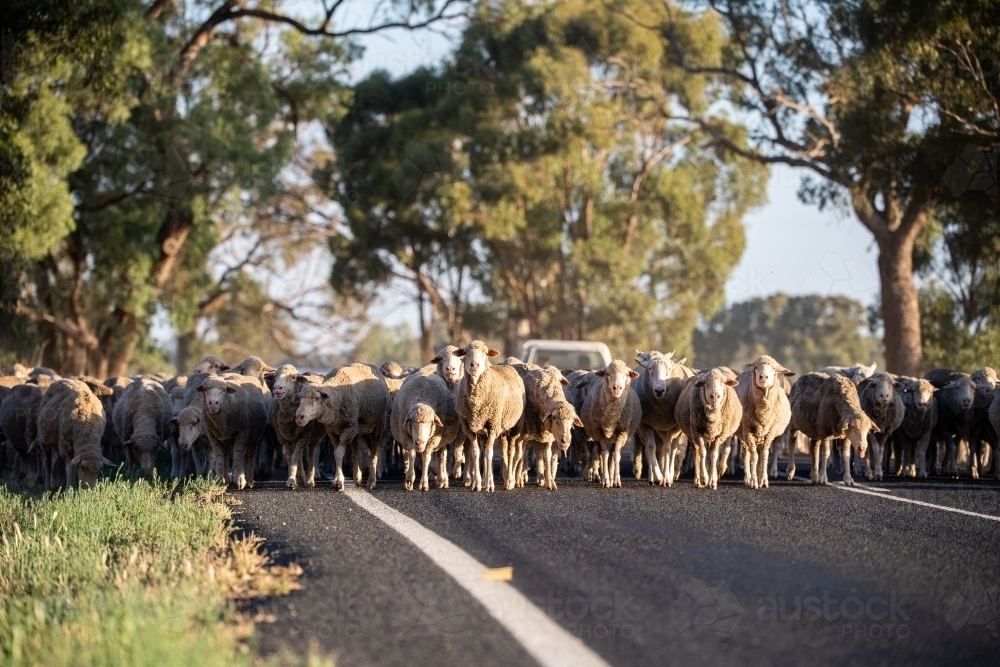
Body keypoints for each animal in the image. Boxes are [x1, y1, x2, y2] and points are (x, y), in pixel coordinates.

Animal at [292, 362, 386, 494]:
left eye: (316, 398)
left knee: (374, 450)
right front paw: (336, 480)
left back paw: (371, 481)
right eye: (300, 399)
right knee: (355, 449)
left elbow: (339, 453)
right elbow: (336, 453)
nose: (299, 417)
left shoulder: (348, 428)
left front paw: (339, 483)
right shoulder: (333, 431)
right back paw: (357, 477)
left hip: (378, 424)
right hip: (355, 428)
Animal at [456, 342, 528, 494]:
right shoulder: (469, 428)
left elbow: (489, 453)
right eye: (465, 352)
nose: (474, 365)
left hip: (514, 427)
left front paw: (490, 484)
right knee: (500, 452)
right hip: (493, 430)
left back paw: (510, 481)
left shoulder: (493, 425)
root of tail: (506, 365)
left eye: (485, 353)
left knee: (511, 453)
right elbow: (476, 453)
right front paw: (477, 484)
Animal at [632, 352, 696, 488]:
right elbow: (651, 448)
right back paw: (653, 477)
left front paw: (666, 478)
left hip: (676, 430)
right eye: (650, 370)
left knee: (672, 449)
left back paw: (670, 475)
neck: (660, 410)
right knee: (655, 449)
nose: (659, 390)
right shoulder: (647, 424)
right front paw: (658, 476)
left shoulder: (672, 427)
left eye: (669, 370)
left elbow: (668, 449)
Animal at [732, 354, 792, 490]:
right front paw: (754, 481)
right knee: (747, 453)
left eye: (774, 368)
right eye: (755, 367)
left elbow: (764, 455)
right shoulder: (747, 430)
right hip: (744, 433)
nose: (763, 377)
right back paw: (748, 478)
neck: (763, 411)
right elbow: (753, 455)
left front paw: (763, 480)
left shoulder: (770, 432)